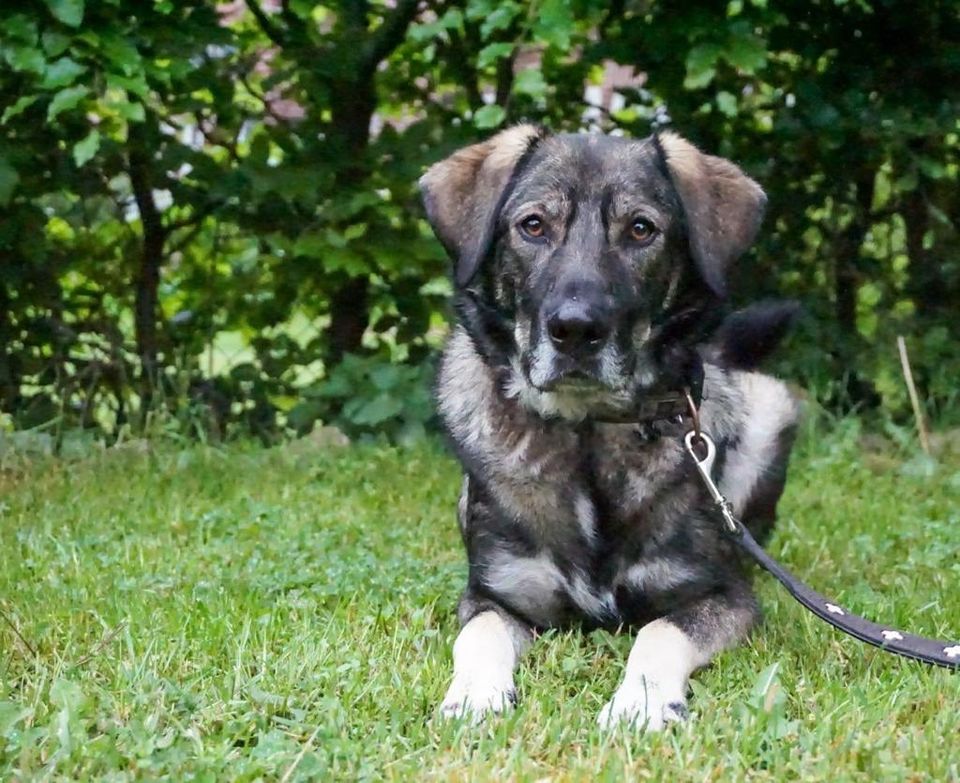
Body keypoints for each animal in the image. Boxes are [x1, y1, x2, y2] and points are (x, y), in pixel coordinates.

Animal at [420, 125, 804, 732]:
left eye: (641, 229)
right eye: (533, 225)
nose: (576, 330)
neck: (587, 434)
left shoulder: (722, 596)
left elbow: (659, 632)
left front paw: (642, 701)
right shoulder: (495, 594)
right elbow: (477, 638)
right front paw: (475, 695)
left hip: (772, 405)